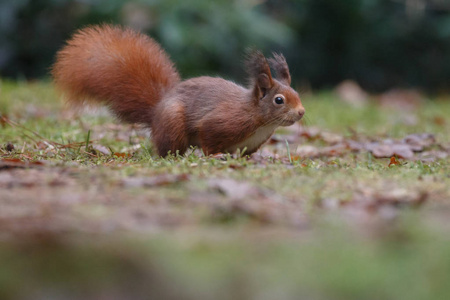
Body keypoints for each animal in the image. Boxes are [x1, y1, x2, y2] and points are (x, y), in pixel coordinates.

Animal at [52, 24, 306, 156]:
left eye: (297, 94)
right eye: (279, 100)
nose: (302, 112)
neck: (260, 121)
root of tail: (156, 111)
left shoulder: (250, 145)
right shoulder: (223, 122)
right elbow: (208, 137)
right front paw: (215, 156)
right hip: (172, 123)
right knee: (169, 147)